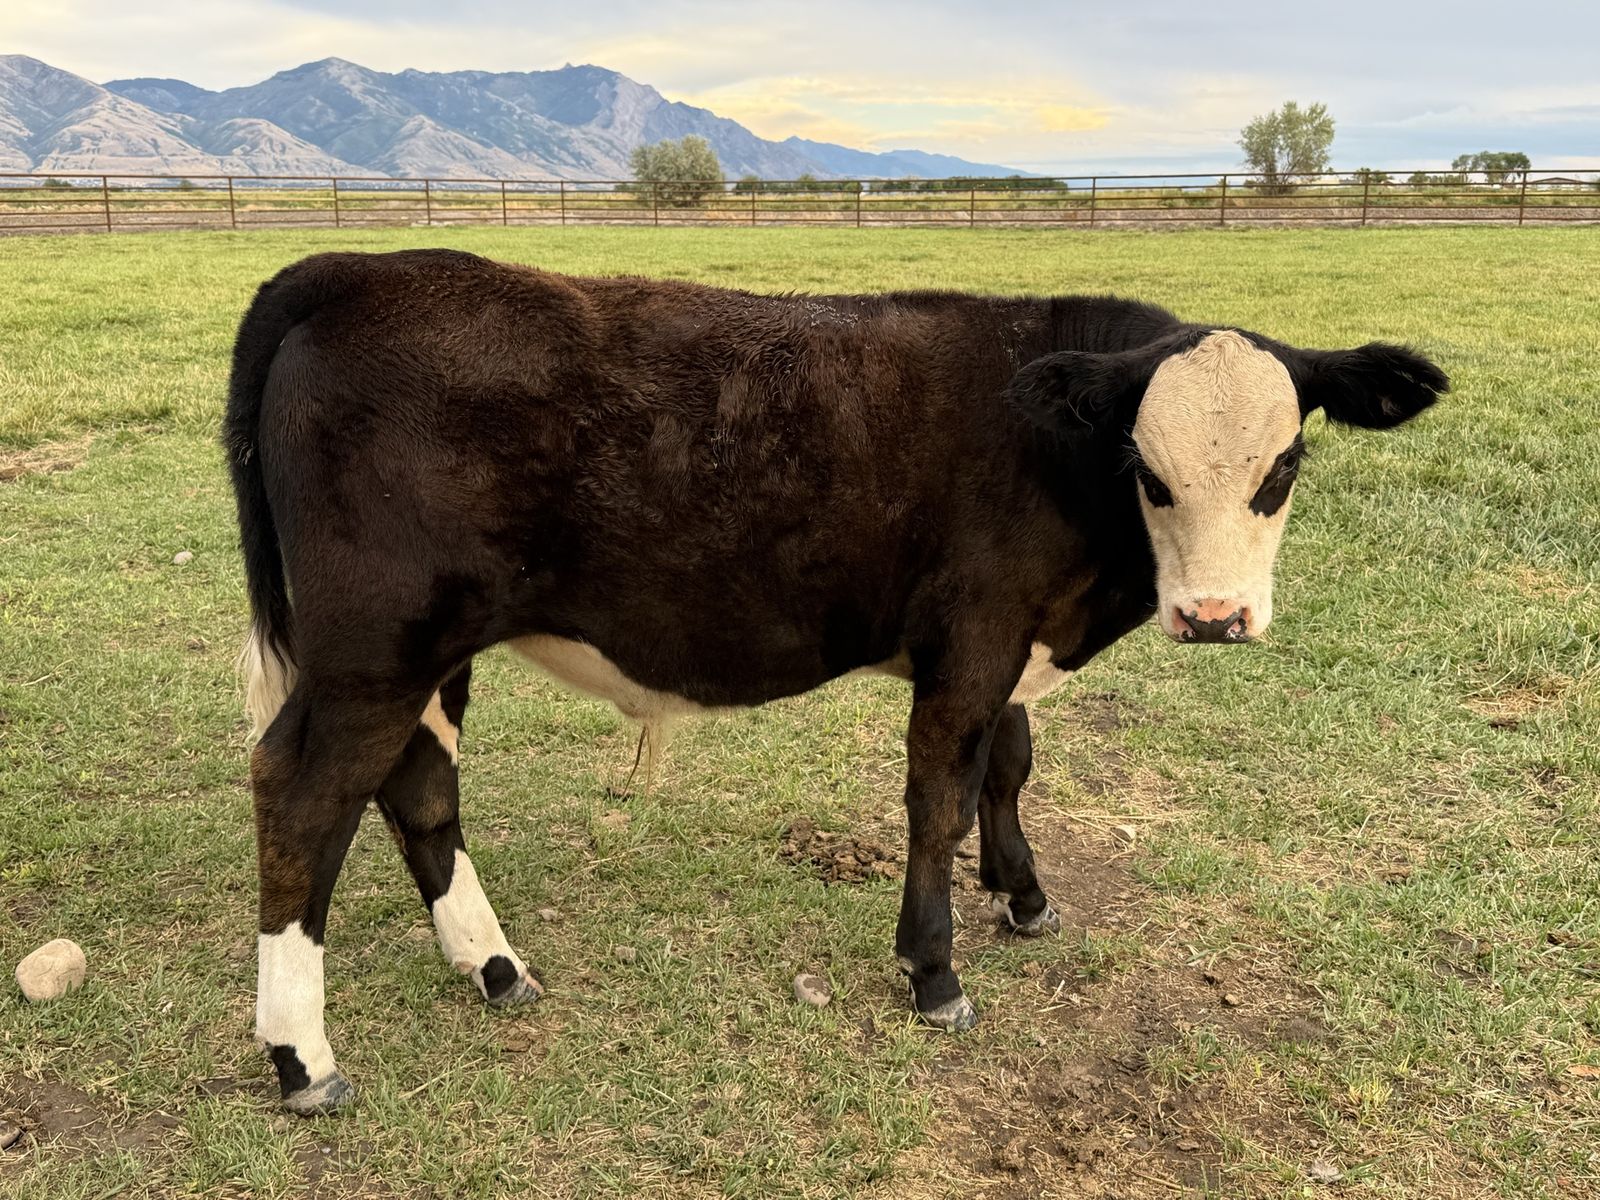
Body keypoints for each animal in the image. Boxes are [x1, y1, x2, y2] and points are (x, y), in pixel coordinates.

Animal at [223, 249, 1447, 1114]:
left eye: (1282, 465)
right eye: (1148, 471)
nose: (1216, 617)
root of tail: (351, 271)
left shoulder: (1010, 649)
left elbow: (1009, 767)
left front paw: (1025, 895)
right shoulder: (974, 636)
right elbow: (939, 797)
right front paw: (935, 972)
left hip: (428, 655)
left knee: (419, 787)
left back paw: (491, 966)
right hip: (372, 651)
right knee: (304, 794)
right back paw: (302, 1057)